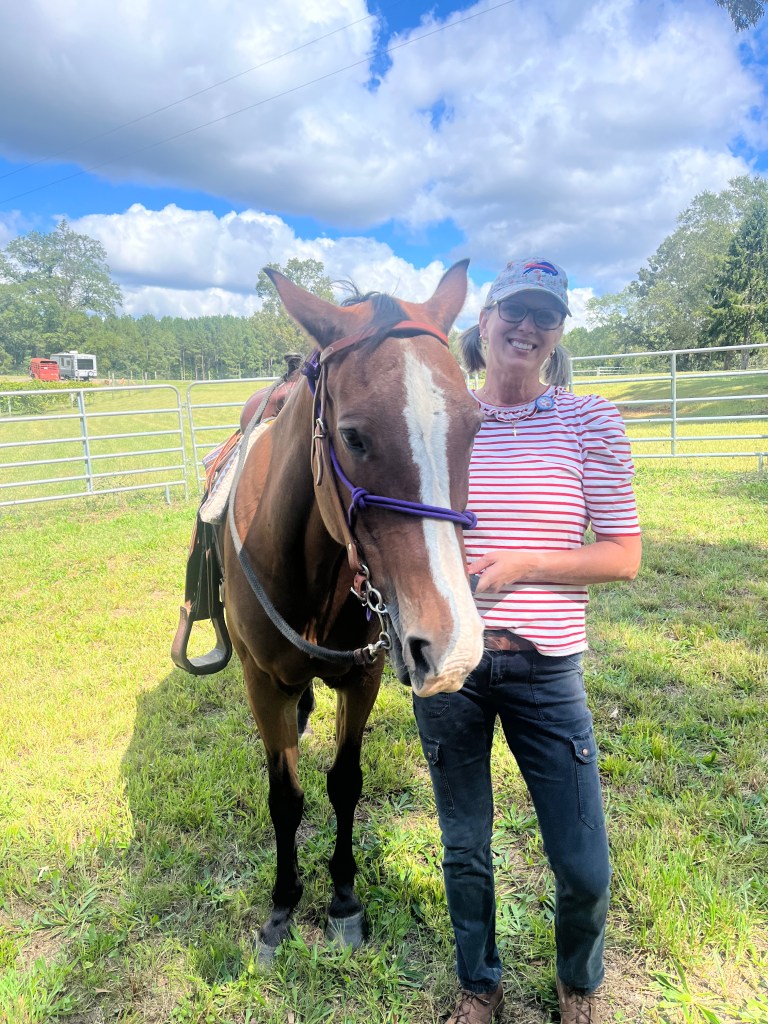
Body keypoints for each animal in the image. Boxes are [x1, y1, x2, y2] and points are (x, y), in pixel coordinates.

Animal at [220, 259, 485, 958]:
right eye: (352, 436)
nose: (452, 647)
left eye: (477, 423)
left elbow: (344, 783)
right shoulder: (262, 683)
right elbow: (285, 797)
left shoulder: (361, 677)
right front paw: (283, 906)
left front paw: (342, 898)